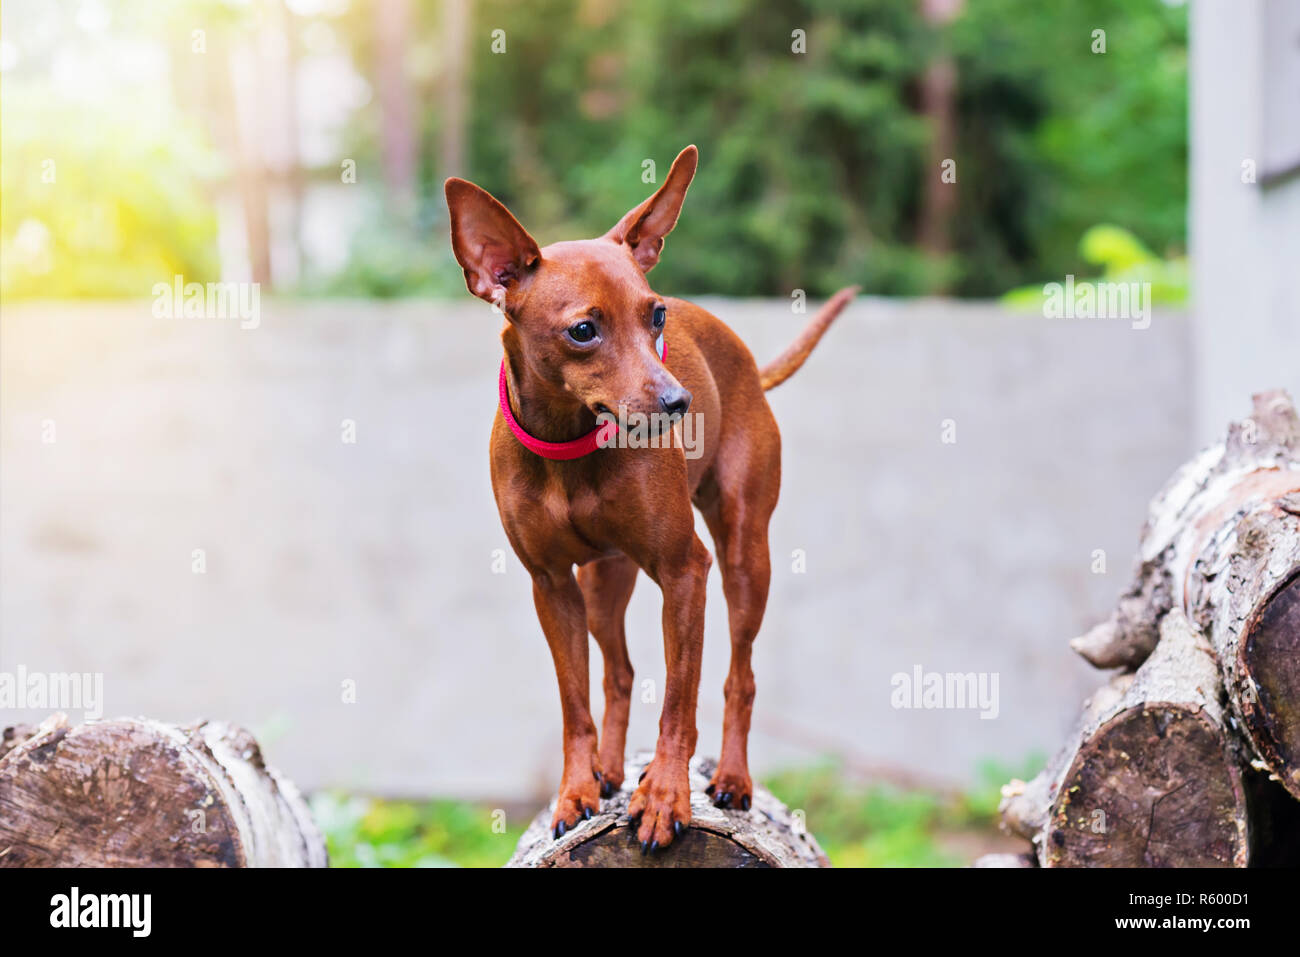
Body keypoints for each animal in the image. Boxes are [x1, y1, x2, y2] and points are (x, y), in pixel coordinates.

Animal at [441, 143, 857, 852]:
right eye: (583, 330)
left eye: (656, 315)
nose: (678, 403)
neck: (571, 444)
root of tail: (747, 362)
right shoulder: (552, 585)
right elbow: (575, 703)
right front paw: (577, 789)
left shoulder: (686, 572)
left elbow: (679, 702)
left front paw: (664, 797)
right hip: (603, 582)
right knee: (619, 673)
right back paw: (609, 769)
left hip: (743, 557)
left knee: (739, 675)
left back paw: (733, 779)